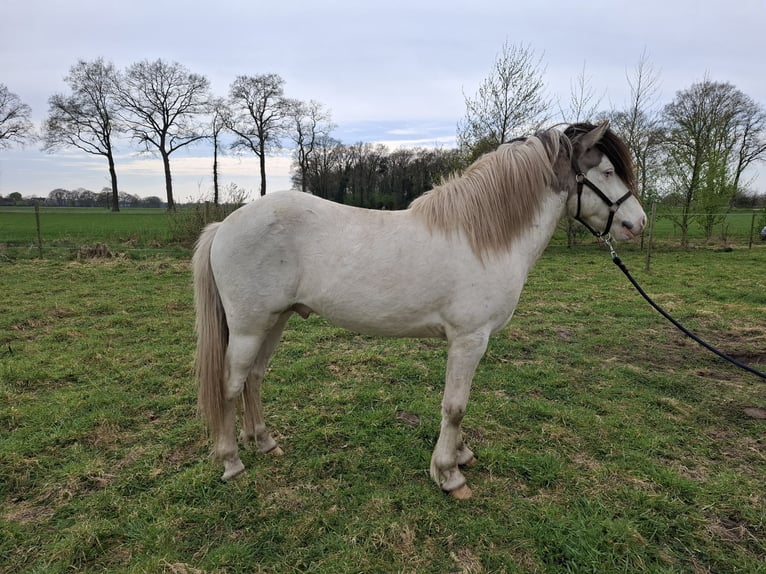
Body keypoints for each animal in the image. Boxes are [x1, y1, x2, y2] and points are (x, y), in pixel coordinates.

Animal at [192, 121, 646, 499]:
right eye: (607, 171)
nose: (637, 223)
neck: (483, 237)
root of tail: (225, 225)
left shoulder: (466, 343)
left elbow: (458, 403)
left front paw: (460, 455)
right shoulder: (469, 339)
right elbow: (455, 406)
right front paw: (449, 474)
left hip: (275, 320)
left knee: (253, 378)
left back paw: (264, 442)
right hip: (249, 327)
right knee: (230, 385)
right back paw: (232, 461)